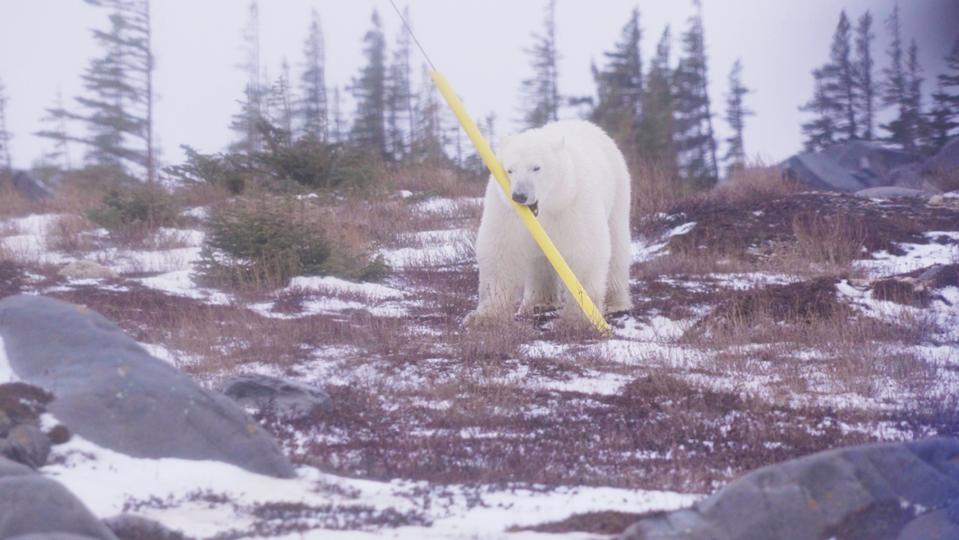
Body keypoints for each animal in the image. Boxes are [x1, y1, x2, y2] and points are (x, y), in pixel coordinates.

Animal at [468, 120, 632, 326]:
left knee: (617, 244)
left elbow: (584, 250)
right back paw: (539, 302)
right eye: (510, 170)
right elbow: (501, 251)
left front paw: (579, 317)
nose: (519, 196)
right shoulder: (506, 210)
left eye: (536, 168)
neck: (544, 207)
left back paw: (615, 303)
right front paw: (483, 317)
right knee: (540, 260)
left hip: (618, 189)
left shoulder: (574, 203)